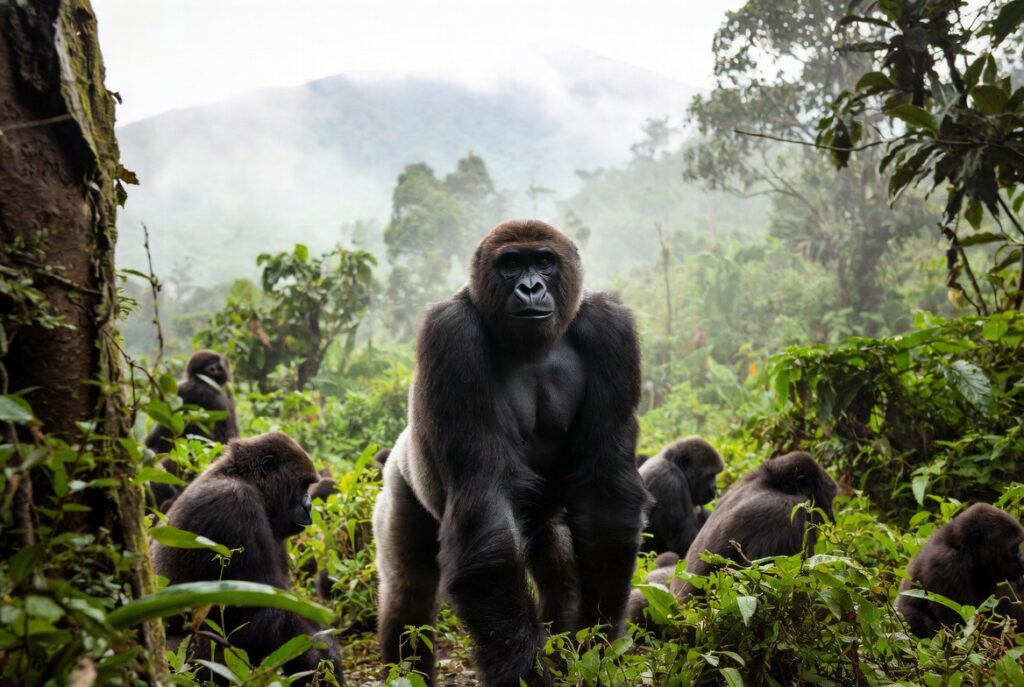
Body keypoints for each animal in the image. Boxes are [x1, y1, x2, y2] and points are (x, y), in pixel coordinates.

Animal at [151, 432, 342, 683]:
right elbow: (264, 612)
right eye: (304, 484)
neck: (245, 479)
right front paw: (320, 662)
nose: (308, 506)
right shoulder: (236, 505)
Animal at [372, 220, 647, 686]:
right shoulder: (452, 334)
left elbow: (604, 499)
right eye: (511, 265)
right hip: (399, 480)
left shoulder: (610, 328)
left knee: (556, 567)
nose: (530, 287)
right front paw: (521, 666)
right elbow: (486, 510)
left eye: (544, 261)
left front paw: (597, 645)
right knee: (408, 591)